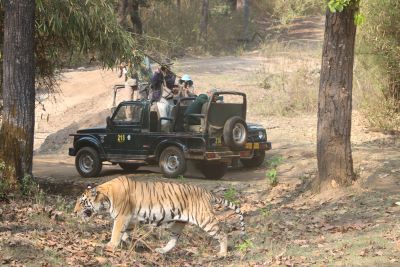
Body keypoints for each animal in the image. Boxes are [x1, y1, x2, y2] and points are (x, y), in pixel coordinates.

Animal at [73, 176, 245, 258]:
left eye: (82, 202)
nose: (74, 212)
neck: (106, 195)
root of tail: (206, 192)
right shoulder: (130, 219)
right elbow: (125, 234)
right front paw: (127, 243)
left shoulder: (122, 217)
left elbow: (115, 232)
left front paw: (110, 246)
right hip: (178, 223)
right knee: (174, 240)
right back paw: (161, 250)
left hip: (205, 220)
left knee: (222, 233)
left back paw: (222, 253)